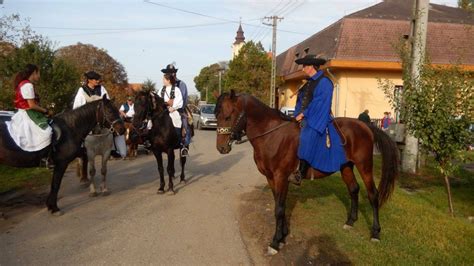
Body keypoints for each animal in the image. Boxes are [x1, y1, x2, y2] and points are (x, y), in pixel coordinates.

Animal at [216, 90, 400, 255]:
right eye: (217, 116)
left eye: (228, 116)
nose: (221, 148)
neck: (272, 135)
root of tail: (364, 125)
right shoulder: (271, 178)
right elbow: (279, 205)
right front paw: (283, 236)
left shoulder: (281, 177)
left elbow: (279, 209)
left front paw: (275, 242)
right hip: (346, 167)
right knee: (354, 189)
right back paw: (350, 222)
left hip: (364, 166)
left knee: (373, 195)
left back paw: (375, 233)